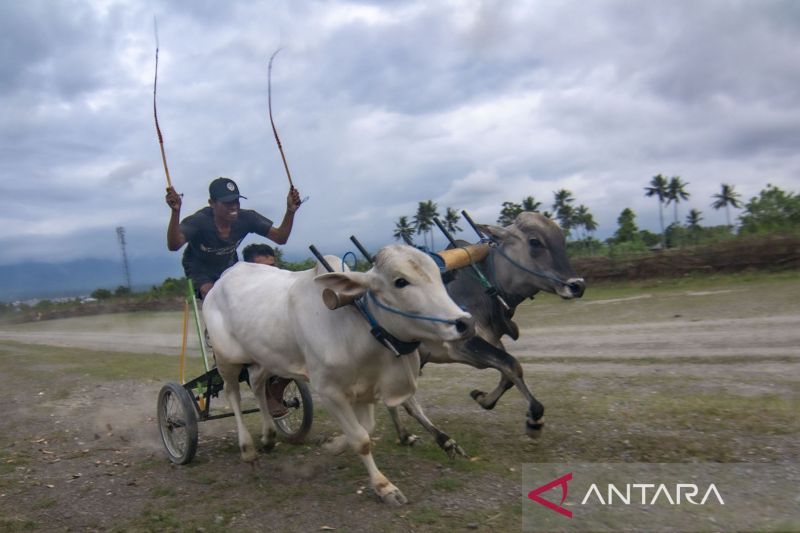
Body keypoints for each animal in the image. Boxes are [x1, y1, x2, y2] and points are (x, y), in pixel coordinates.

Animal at [203, 244, 472, 502]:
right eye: (400, 281)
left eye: (438, 274)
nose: (465, 323)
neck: (357, 327)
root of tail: (224, 277)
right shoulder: (329, 391)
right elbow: (361, 439)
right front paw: (383, 486)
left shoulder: (366, 387)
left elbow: (367, 428)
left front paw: (334, 445)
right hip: (227, 360)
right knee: (233, 394)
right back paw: (248, 450)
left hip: (265, 359)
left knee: (258, 386)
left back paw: (269, 438)